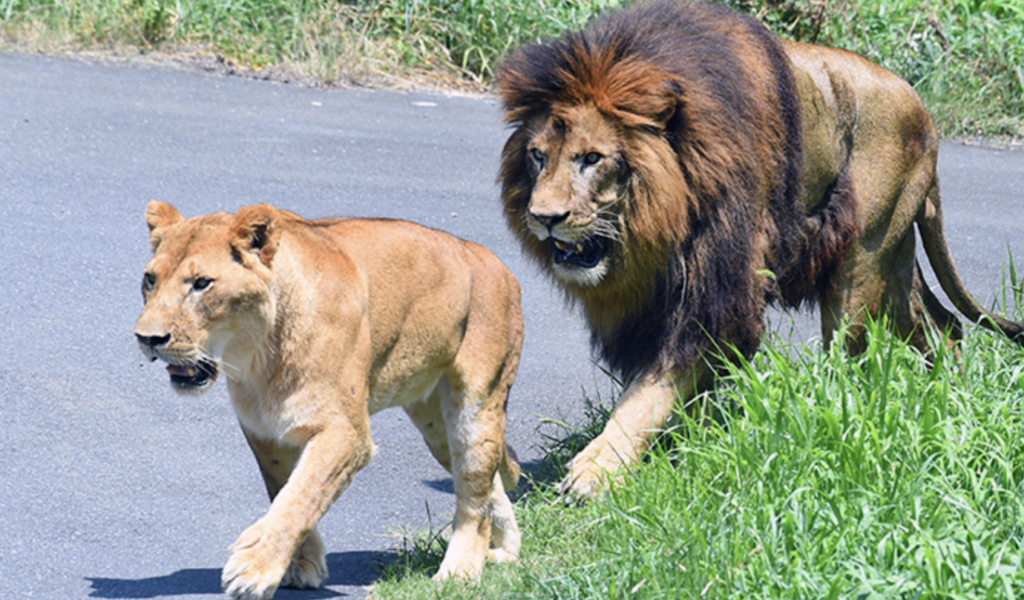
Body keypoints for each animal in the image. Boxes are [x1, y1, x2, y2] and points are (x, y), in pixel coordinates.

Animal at [134, 201, 524, 599]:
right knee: (489, 484)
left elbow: (303, 494)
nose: (147, 338)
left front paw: (253, 569)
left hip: (475, 405)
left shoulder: (346, 433)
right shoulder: (265, 431)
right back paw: (507, 553)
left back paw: (459, 573)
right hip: (436, 428)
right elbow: (284, 490)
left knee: (474, 492)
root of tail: (493, 261)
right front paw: (302, 565)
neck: (259, 355)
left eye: (202, 283)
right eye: (150, 280)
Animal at [496, 0, 1024, 499]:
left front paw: (597, 470)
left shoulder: (719, 292)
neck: (655, 229)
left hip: (861, 256)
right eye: (537, 156)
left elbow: (650, 389)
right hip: (894, 261)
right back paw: (945, 398)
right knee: (944, 327)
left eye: (592, 159)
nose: (543, 218)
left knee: (847, 359)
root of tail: (921, 107)